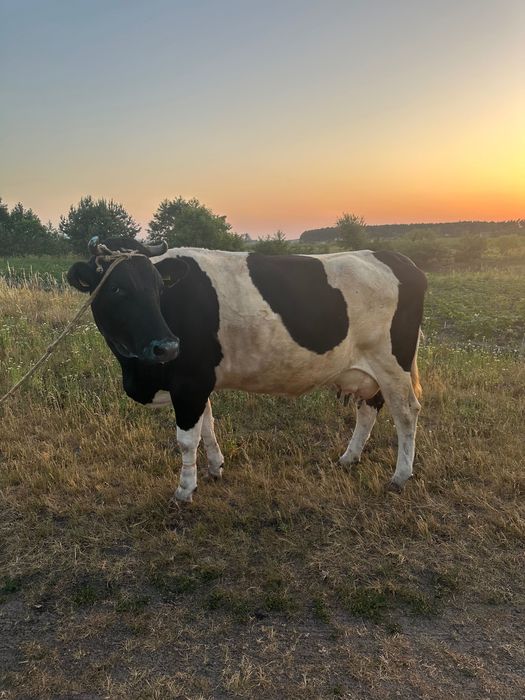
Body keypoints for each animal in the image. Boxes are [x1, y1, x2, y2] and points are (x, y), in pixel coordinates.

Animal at [67, 237, 427, 502]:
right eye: (115, 288)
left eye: (159, 286)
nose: (167, 347)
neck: (137, 371)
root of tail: (400, 259)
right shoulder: (199, 382)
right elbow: (207, 425)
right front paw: (214, 468)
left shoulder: (189, 382)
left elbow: (187, 439)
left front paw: (184, 490)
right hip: (368, 371)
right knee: (369, 409)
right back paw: (349, 458)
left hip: (392, 363)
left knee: (406, 412)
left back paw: (400, 476)